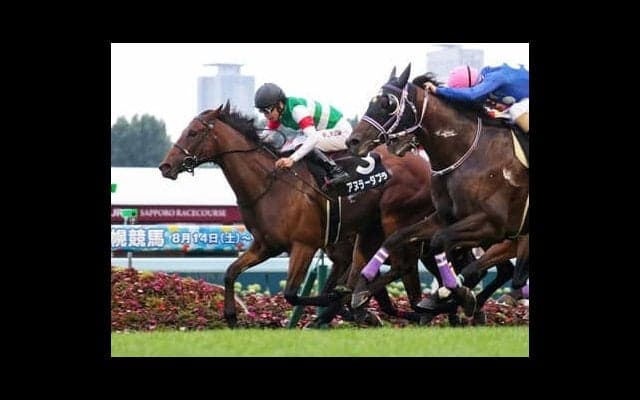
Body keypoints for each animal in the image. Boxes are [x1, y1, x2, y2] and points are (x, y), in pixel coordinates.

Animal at [159, 102, 446, 328]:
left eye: (193, 132)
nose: (165, 166)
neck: (269, 185)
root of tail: (425, 165)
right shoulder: (266, 245)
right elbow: (231, 272)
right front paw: (230, 316)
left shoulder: (304, 246)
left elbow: (292, 294)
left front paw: (339, 304)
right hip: (371, 232)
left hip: (395, 221)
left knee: (402, 267)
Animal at [347, 64, 529, 316]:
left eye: (388, 103)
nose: (353, 141)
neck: (469, 153)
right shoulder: (446, 217)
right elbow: (396, 238)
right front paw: (362, 287)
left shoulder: (491, 224)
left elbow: (441, 243)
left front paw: (449, 294)